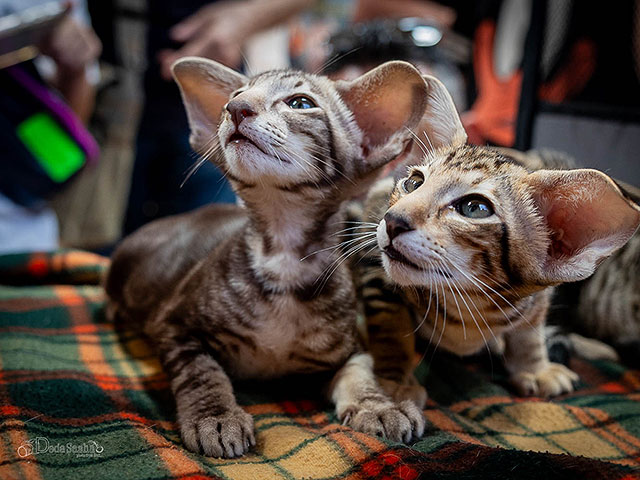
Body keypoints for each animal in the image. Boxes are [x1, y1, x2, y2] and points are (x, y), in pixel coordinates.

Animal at [106, 57, 430, 458]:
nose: (236, 107)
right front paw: (215, 416)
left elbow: (360, 371)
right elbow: (200, 370)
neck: (283, 258)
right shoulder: (171, 324)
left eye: (301, 103)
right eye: (236, 94)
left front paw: (378, 405)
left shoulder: (352, 348)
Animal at [356, 76, 640, 404]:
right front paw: (394, 378)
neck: (467, 305)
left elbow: (529, 332)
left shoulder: (537, 298)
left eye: (474, 208)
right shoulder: (373, 266)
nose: (392, 220)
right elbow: (390, 324)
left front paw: (535, 367)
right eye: (414, 183)